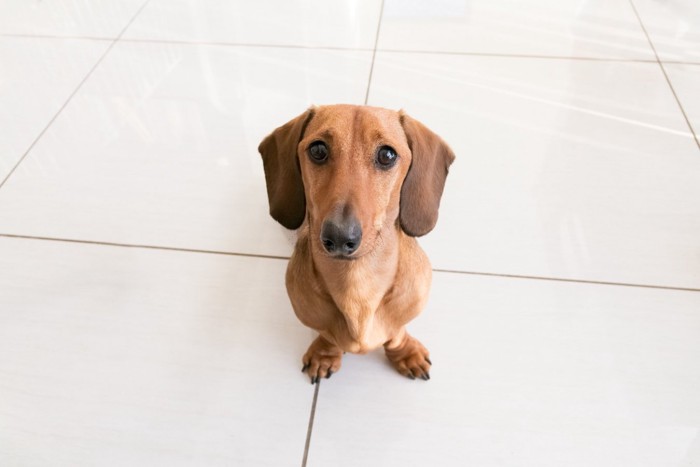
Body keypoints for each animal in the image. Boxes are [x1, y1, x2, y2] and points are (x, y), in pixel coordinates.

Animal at [258, 104, 454, 382]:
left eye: (387, 155)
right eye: (318, 150)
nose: (340, 237)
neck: (357, 284)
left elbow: (396, 334)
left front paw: (406, 353)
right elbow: (328, 337)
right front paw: (325, 354)